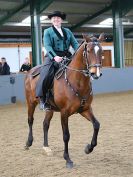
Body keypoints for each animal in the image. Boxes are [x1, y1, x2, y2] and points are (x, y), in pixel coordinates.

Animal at [24, 33, 104, 169]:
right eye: (88, 51)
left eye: (101, 51)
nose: (96, 73)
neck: (77, 81)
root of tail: (30, 71)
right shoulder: (64, 113)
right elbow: (66, 135)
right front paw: (68, 159)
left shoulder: (85, 109)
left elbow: (96, 125)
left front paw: (88, 148)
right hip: (30, 103)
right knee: (30, 121)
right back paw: (28, 143)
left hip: (49, 109)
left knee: (45, 124)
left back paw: (46, 148)